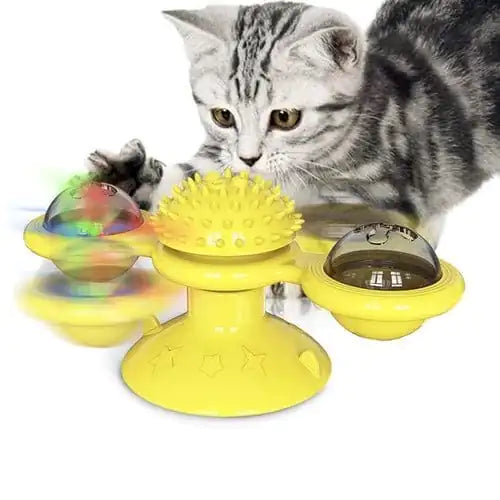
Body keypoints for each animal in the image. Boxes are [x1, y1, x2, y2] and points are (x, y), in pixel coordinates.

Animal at [87, 0, 500, 296]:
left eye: (284, 118)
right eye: (223, 116)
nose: (249, 157)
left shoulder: (386, 196)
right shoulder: (220, 158)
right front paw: (129, 181)